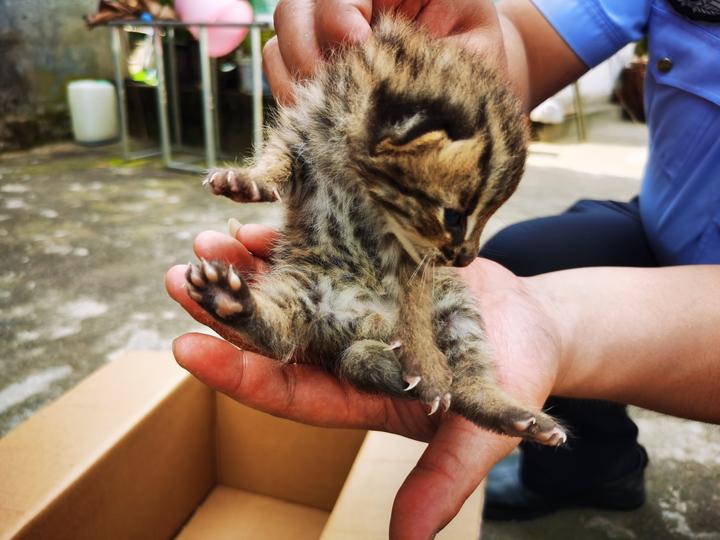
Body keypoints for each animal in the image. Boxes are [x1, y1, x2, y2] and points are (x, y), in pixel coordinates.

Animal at [186, 14, 568, 446]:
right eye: (454, 216)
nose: (466, 259)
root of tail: (368, 319)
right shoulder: (300, 135)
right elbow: (275, 161)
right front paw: (247, 180)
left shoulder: (415, 251)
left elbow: (415, 306)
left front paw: (429, 369)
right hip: (303, 289)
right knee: (280, 332)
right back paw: (230, 300)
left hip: (455, 304)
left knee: (467, 377)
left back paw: (513, 414)